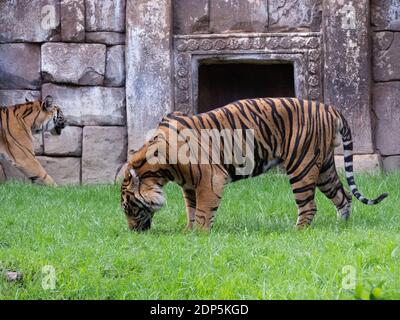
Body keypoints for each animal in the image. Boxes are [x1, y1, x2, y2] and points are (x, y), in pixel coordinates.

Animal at [121, 97, 388, 230]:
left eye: (130, 208)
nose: (132, 231)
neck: (160, 171)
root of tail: (330, 108)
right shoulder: (189, 185)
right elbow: (191, 209)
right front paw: (188, 231)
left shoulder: (210, 179)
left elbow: (204, 211)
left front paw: (199, 235)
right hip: (323, 167)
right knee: (343, 196)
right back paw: (341, 227)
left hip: (301, 166)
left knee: (309, 206)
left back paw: (297, 232)